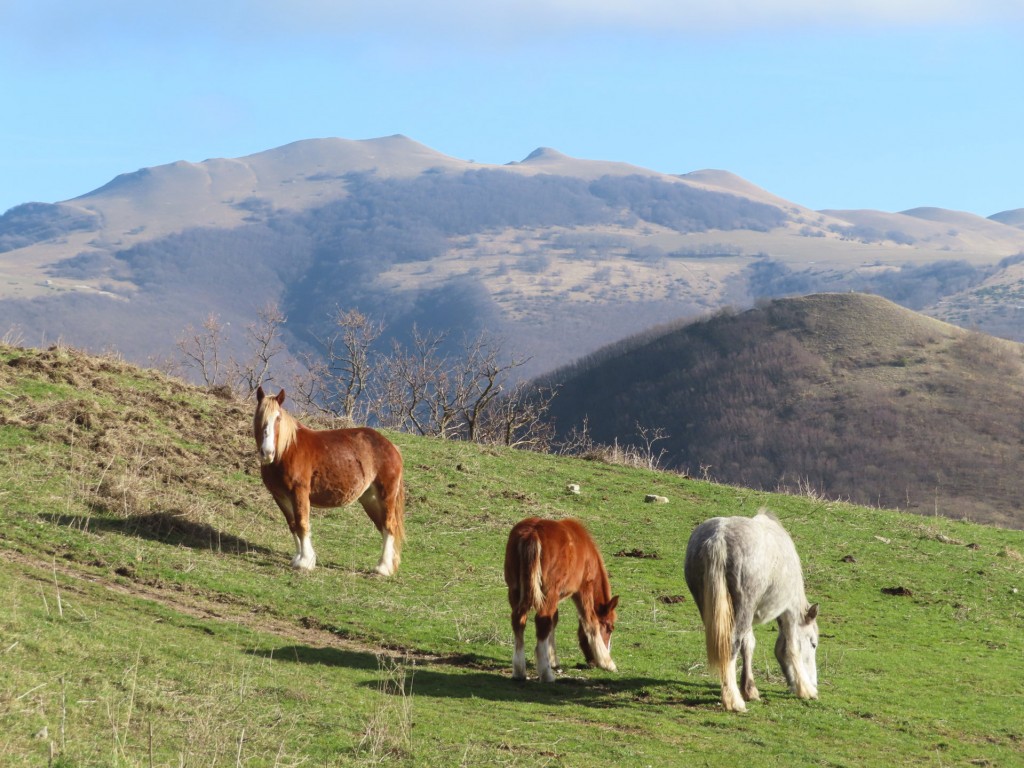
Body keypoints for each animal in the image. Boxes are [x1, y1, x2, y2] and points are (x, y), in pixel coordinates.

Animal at [251, 387, 403, 573]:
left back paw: (382, 568)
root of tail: (391, 447)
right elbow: (293, 525)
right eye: (259, 417)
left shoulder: (299, 492)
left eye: (278, 418)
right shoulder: (280, 496)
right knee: (383, 527)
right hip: (370, 499)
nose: (267, 452)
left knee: (389, 526)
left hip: (386, 496)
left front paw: (305, 562)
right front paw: (298, 558)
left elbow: (302, 524)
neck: (286, 450)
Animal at [501, 520, 614, 684]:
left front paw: (553, 659)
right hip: (549, 592)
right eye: (610, 628)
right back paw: (546, 674)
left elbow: (554, 620)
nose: (592, 663)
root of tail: (532, 532)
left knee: (519, 620)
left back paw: (519, 671)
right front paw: (607, 662)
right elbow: (590, 621)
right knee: (542, 622)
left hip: (515, 590)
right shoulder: (584, 589)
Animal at [684, 507, 819, 712]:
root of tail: (718, 538)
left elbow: (748, 645)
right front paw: (805, 689)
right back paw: (733, 701)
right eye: (813, 644)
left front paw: (749, 689)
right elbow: (792, 647)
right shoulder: (788, 612)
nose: (815, 683)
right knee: (731, 645)